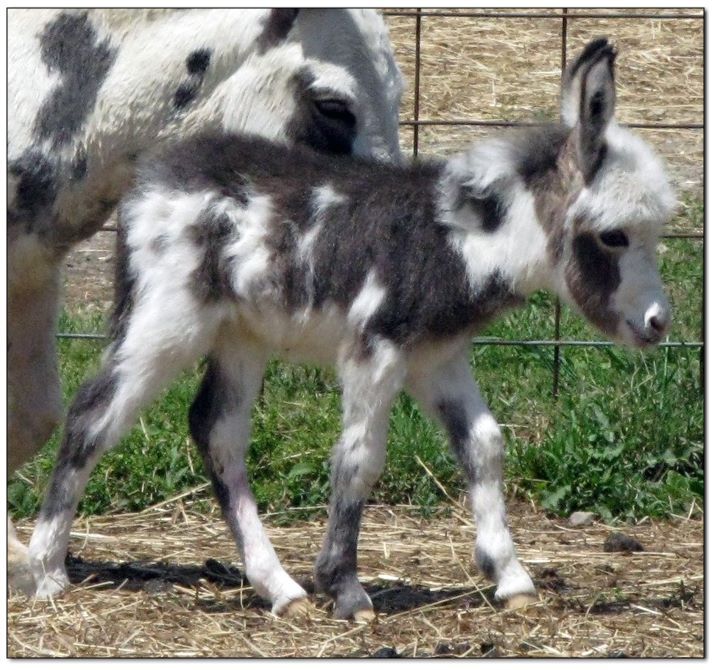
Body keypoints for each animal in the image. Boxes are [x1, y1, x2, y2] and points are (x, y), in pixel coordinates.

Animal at [27, 40, 674, 620]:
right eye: (613, 236)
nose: (658, 324)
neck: (454, 241)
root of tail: (155, 176)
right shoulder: (376, 348)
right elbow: (360, 458)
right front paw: (346, 590)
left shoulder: (437, 358)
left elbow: (484, 446)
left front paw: (510, 577)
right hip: (168, 319)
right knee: (94, 414)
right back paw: (46, 571)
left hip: (241, 336)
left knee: (217, 432)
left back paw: (279, 588)